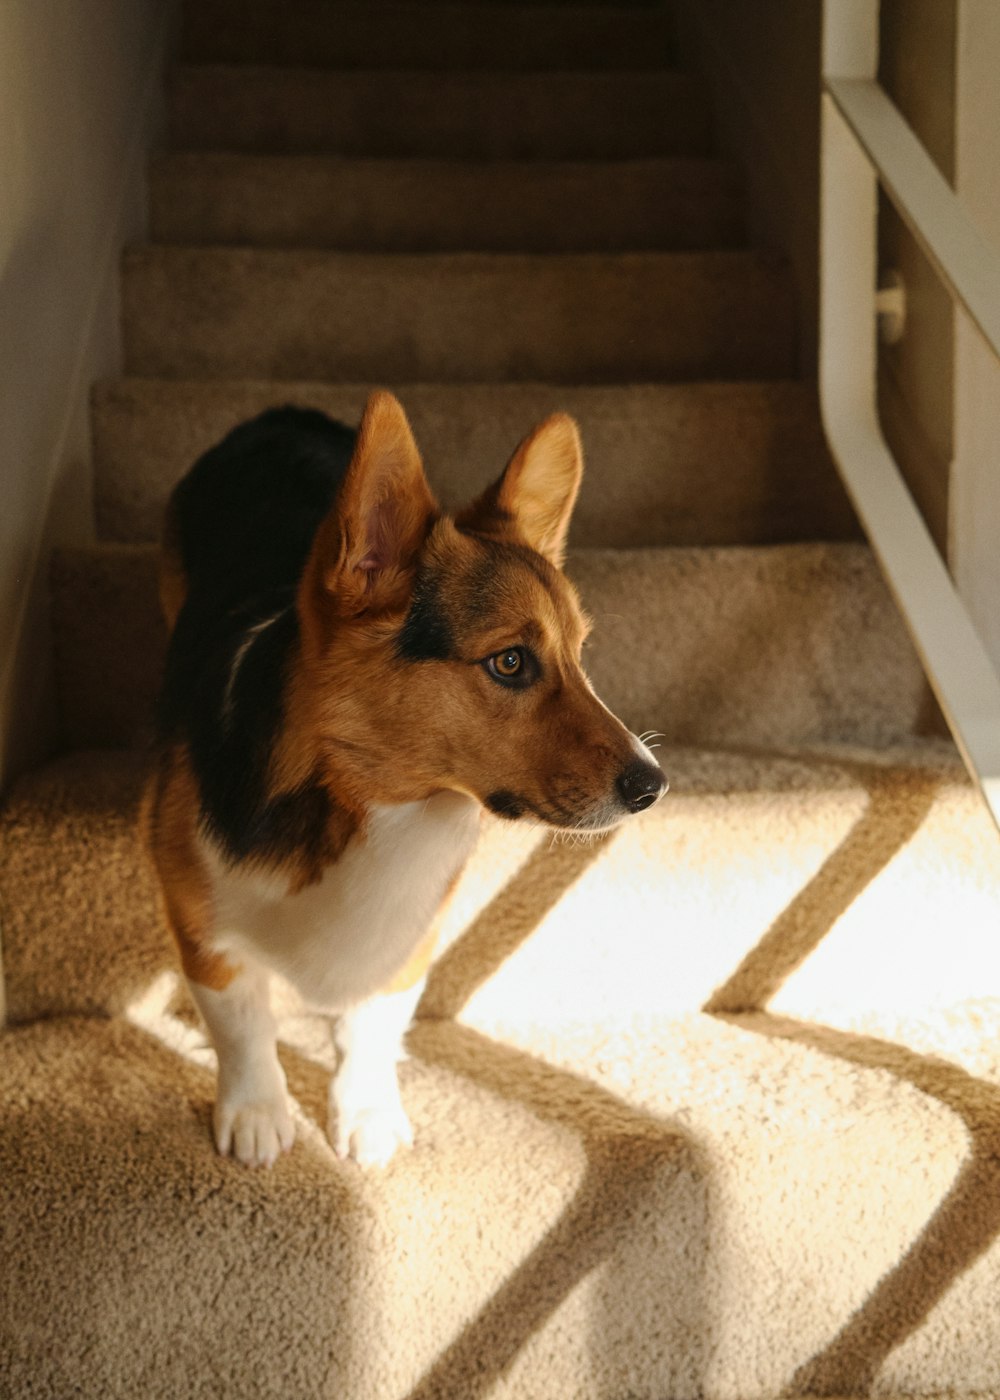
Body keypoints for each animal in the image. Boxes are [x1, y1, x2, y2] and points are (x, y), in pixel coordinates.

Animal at [144, 392, 666, 1170]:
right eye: (510, 662)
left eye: (580, 654)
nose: (653, 785)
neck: (374, 806)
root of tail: (283, 412)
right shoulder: (203, 929)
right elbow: (242, 1028)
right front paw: (258, 1115)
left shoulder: (411, 939)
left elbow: (371, 1026)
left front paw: (365, 1116)